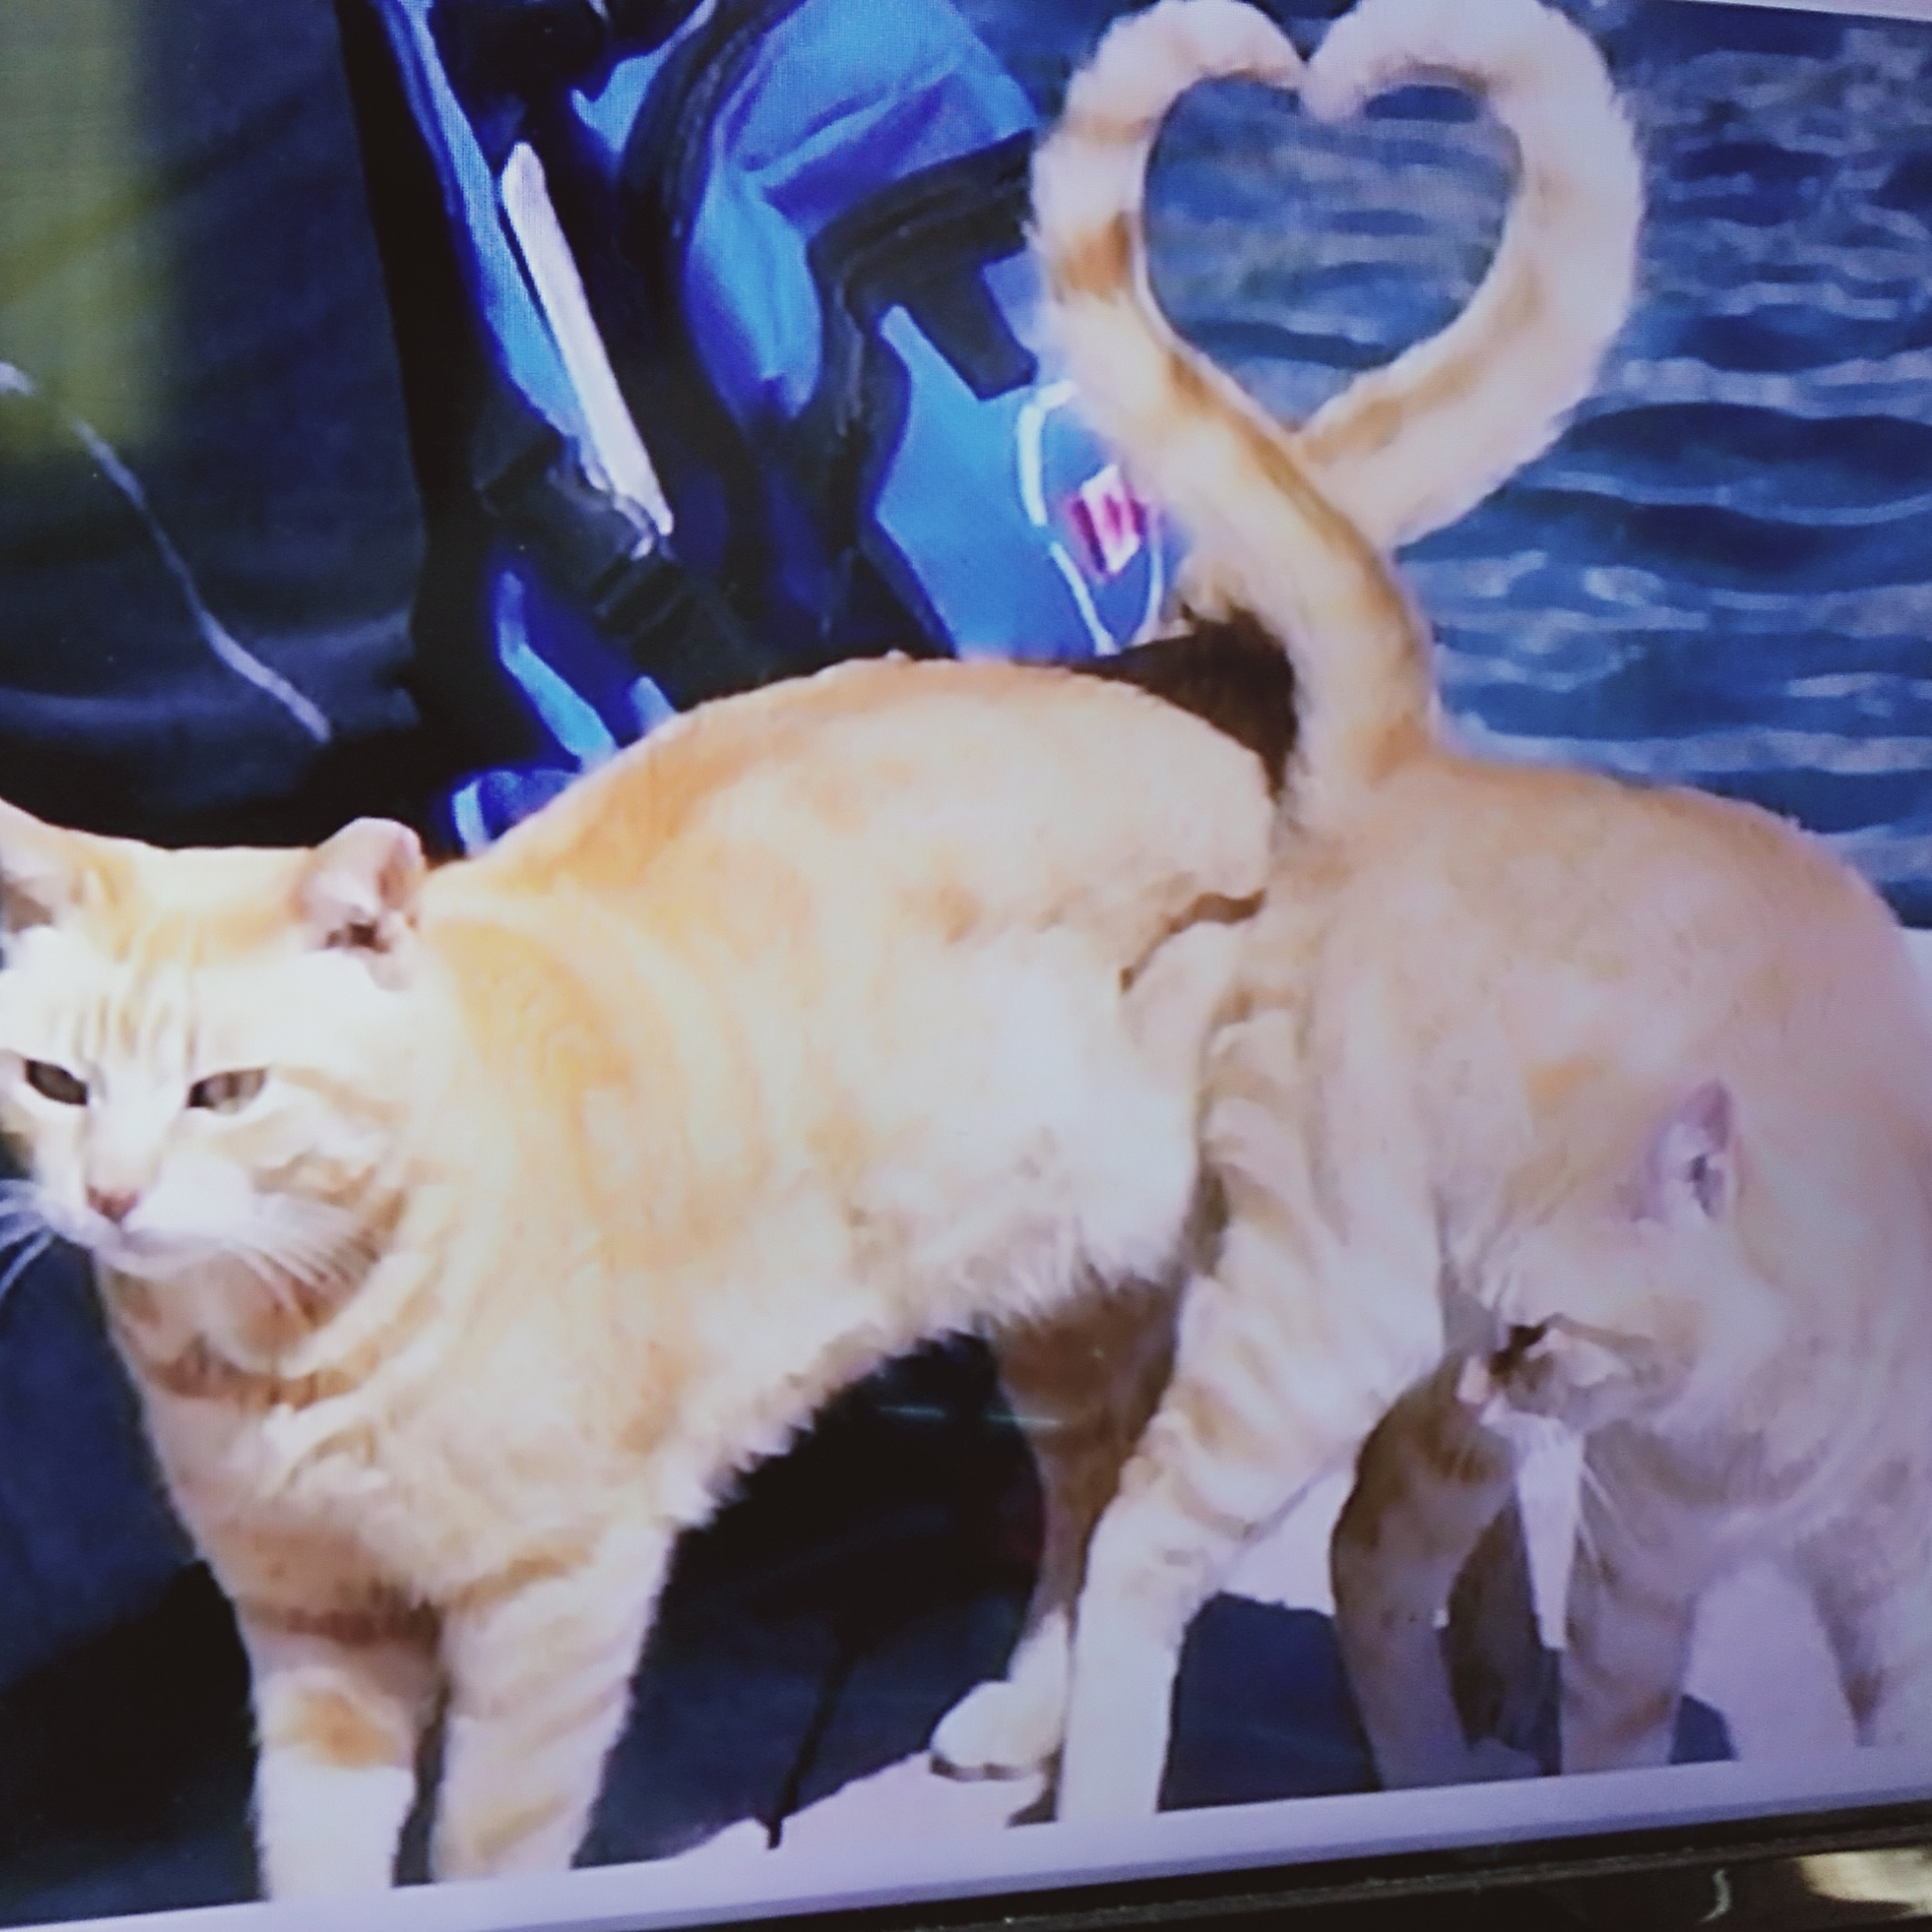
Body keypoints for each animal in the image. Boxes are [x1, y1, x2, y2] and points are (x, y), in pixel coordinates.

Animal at [0, 657, 1284, 1895]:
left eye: (225, 1093)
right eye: (54, 1083)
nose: (109, 1195)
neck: (283, 1339)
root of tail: (1201, 725)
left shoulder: (551, 1603)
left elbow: (488, 1856)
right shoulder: (315, 1620)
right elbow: (316, 1860)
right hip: (1060, 1328)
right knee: (1093, 1494)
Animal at [1023, 0, 1932, 1817]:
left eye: (1545, 1322)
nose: (1502, 1366)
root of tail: (1389, 768)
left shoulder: (1887, 1578)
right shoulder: (1637, 1558)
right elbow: (1615, 1733)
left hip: (1404, 1380)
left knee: (1374, 1554)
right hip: (1338, 1327)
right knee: (1177, 1540)